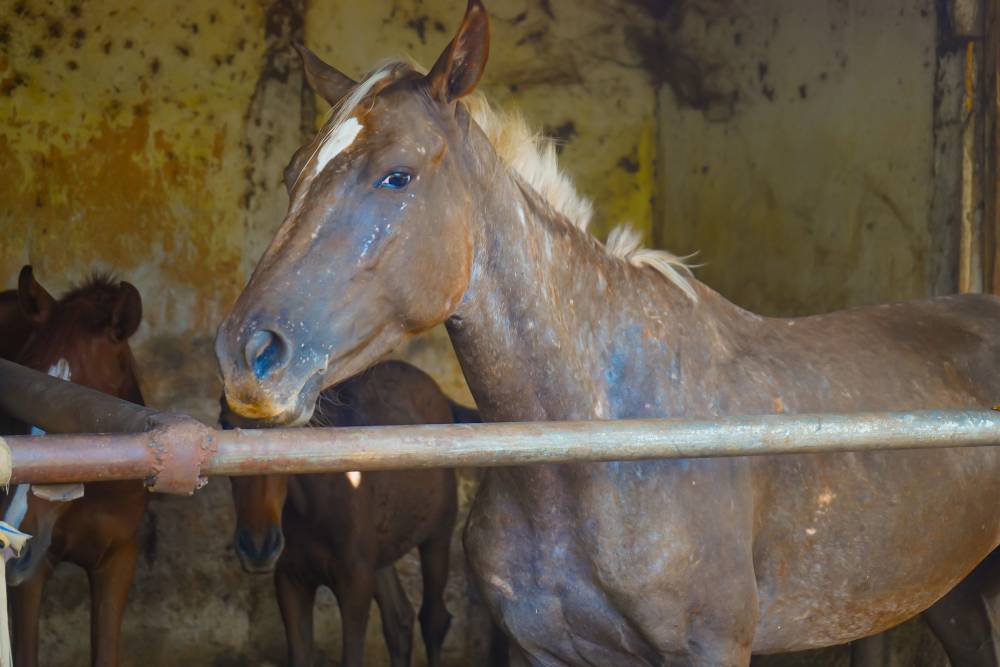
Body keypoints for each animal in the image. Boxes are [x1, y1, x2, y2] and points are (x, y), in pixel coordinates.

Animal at [223, 360, 462, 667]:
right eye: (224, 423)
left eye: (284, 431)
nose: (257, 547)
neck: (312, 511)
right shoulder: (290, 580)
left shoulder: (354, 583)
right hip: (380, 555)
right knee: (399, 621)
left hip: (437, 536)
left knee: (433, 620)